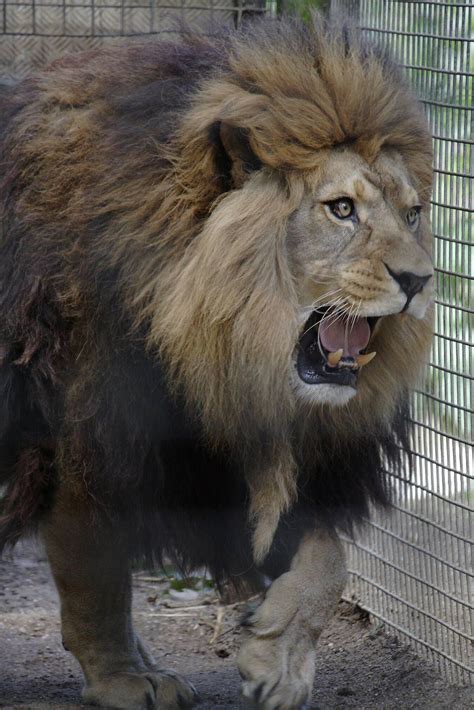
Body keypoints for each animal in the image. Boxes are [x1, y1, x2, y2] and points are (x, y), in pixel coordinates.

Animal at [0, 12, 434, 710]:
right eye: (341, 208)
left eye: (413, 212)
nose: (420, 281)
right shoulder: (88, 438)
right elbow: (96, 572)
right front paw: (121, 678)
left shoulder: (229, 455)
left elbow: (329, 557)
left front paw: (278, 657)